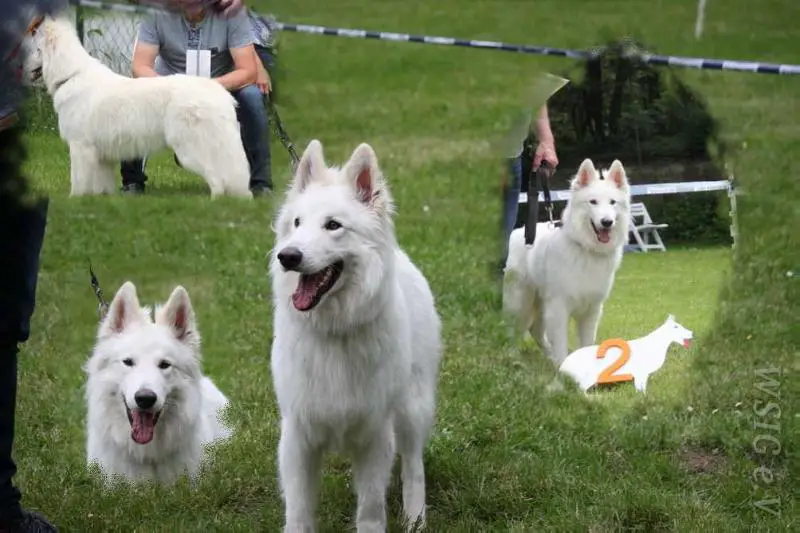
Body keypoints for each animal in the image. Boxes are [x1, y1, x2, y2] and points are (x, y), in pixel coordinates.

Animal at [20, 14, 252, 197]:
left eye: (37, 50)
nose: (21, 67)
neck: (71, 75)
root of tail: (219, 92)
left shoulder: (80, 147)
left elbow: (78, 183)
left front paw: (75, 201)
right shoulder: (100, 157)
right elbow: (101, 186)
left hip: (189, 149)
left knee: (217, 178)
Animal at [268, 139, 444, 528]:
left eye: (333, 225)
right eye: (297, 223)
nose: (288, 256)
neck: (335, 329)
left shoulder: (376, 435)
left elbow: (371, 509)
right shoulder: (298, 439)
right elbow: (298, 512)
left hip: (411, 409)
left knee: (413, 466)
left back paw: (415, 519)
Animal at [506, 158, 632, 366]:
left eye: (613, 202)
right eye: (593, 202)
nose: (607, 222)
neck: (587, 250)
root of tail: (517, 232)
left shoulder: (591, 311)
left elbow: (587, 343)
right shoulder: (559, 307)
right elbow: (561, 342)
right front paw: (563, 367)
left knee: (535, 331)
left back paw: (548, 356)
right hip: (520, 302)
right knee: (512, 327)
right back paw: (514, 356)